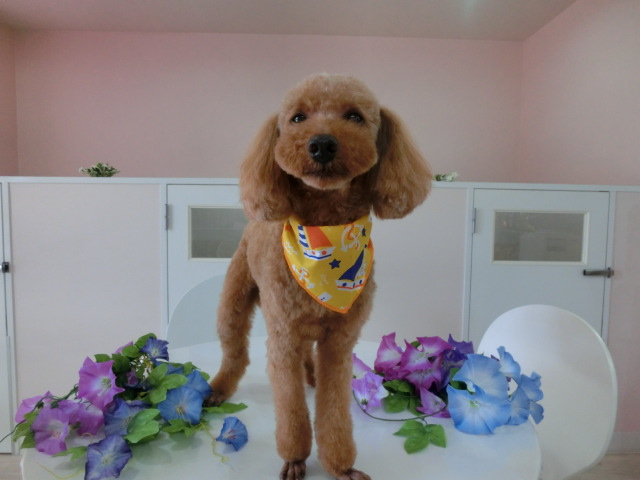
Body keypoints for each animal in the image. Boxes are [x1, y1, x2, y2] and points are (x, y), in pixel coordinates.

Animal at [206, 74, 432, 480]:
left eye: (355, 116)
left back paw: (310, 375)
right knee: (235, 353)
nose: (322, 144)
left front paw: (340, 465)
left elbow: (334, 409)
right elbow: (292, 408)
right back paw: (219, 388)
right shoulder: (283, 337)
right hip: (233, 303)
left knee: (306, 358)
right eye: (298, 118)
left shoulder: (339, 342)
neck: (327, 230)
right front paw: (295, 458)